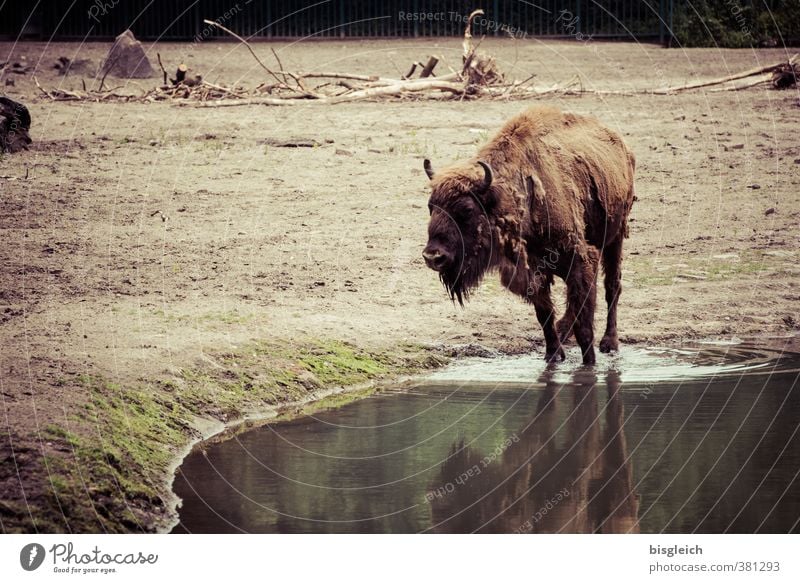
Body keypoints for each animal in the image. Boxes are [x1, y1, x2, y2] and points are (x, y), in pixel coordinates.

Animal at [422, 102, 636, 362]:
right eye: (431, 206)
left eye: (466, 209)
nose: (433, 257)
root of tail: (621, 146)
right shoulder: (533, 271)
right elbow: (545, 314)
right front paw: (553, 355)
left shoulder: (581, 259)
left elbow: (583, 325)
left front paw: (588, 363)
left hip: (615, 237)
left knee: (612, 286)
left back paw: (609, 342)